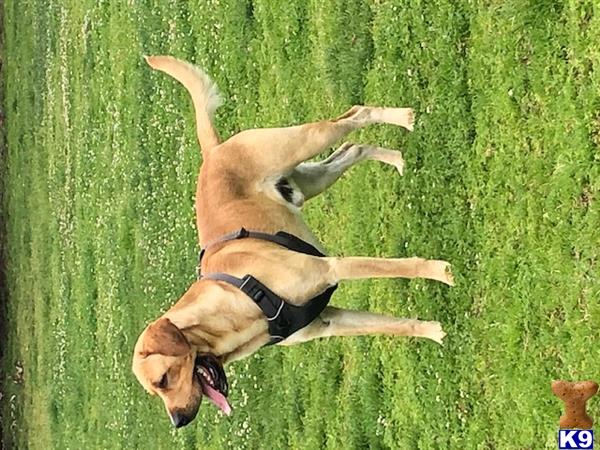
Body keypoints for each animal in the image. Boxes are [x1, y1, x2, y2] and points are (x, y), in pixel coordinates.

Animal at [130, 56, 450, 428]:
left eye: (163, 379)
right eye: (156, 392)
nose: (178, 421)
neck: (239, 305)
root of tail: (212, 153)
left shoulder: (331, 269)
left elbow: (402, 267)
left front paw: (441, 272)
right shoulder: (329, 322)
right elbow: (394, 326)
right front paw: (433, 332)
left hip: (302, 142)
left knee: (356, 114)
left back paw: (402, 118)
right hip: (311, 180)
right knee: (352, 147)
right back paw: (395, 158)